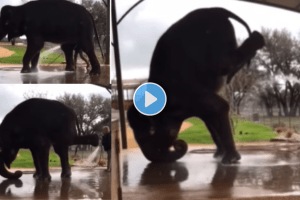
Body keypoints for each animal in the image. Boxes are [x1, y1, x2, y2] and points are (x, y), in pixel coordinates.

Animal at [126, 7, 264, 164]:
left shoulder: (189, 93)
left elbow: (221, 106)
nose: (178, 143)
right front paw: (218, 155)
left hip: (219, 33)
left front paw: (229, 159)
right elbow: (209, 118)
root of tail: (217, 9)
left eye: (150, 133)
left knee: (224, 63)